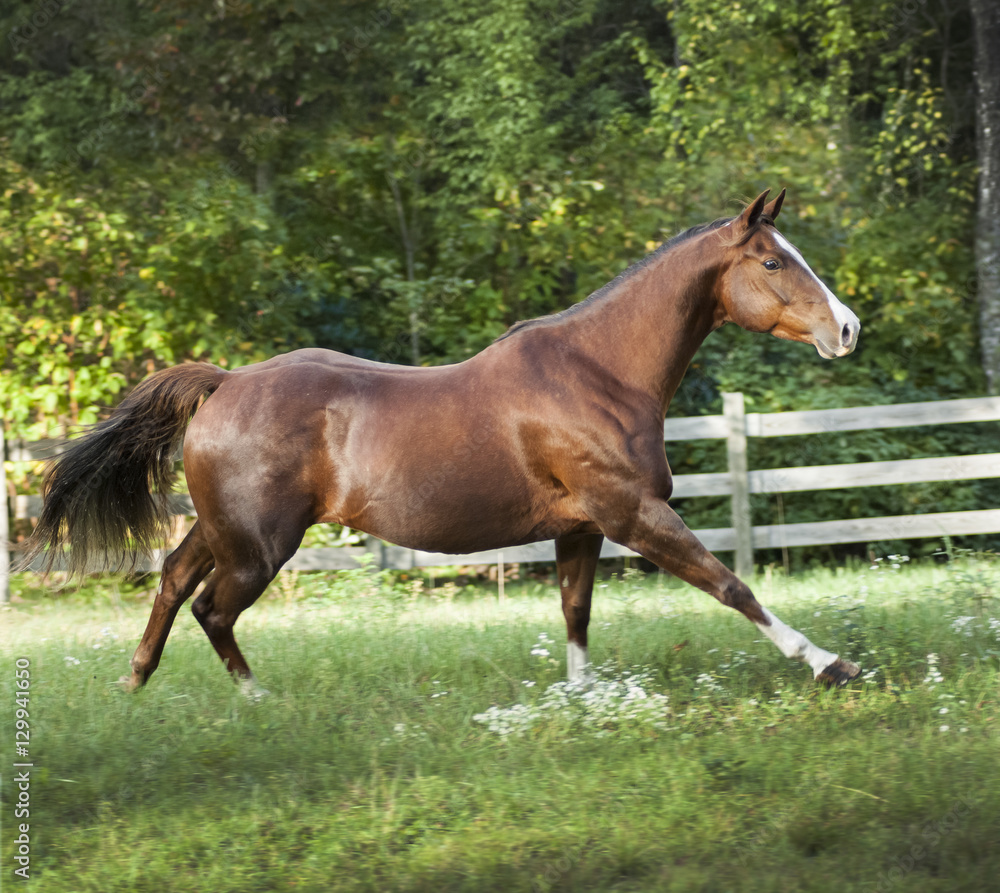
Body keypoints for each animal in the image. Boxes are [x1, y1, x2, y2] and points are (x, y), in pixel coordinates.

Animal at [20, 188, 862, 694]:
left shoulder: (583, 526)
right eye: (772, 260)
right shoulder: (634, 513)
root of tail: (224, 382)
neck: (597, 371)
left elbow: (576, 613)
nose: (848, 328)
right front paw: (831, 663)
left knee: (170, 580)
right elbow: (732, 586)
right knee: (213, 610)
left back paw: (134, 682)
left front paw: (582, 701)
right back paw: (256, 697)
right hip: (259, 546)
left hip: (224, 529)